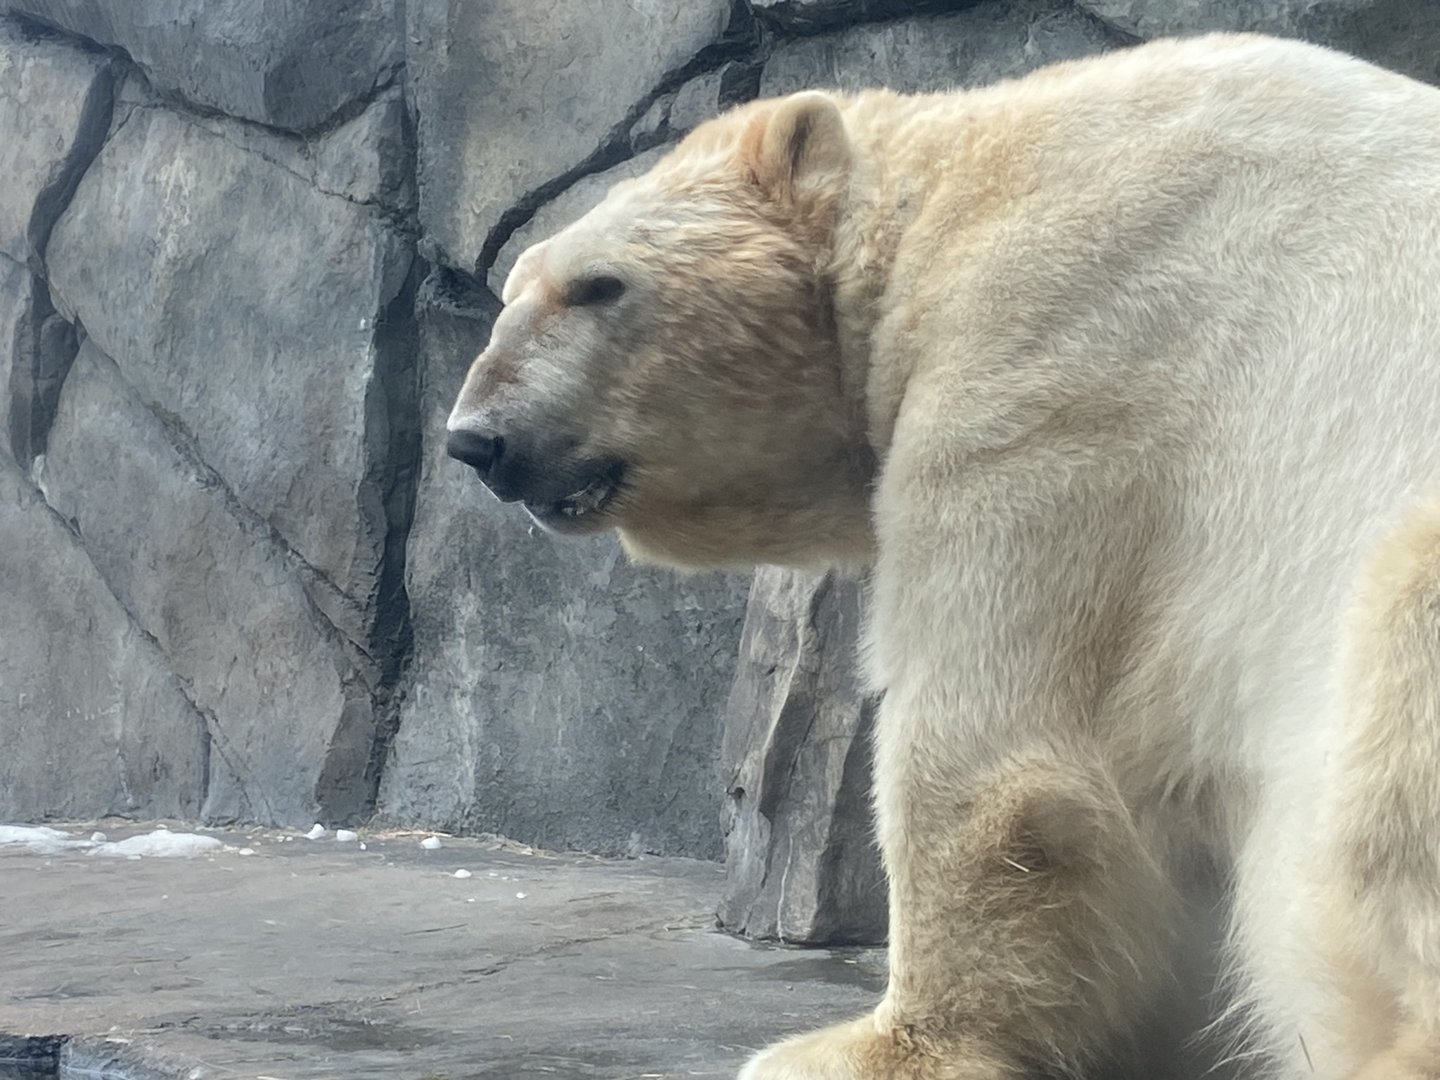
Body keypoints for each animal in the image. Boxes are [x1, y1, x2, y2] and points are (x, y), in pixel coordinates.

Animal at [445, 32, 1440, 1080]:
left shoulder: (1062, 355)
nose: (477, 440)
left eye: (600, 285)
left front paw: (858, 1047)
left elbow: (986, 746)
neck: (953, 185)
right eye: (512, 290)